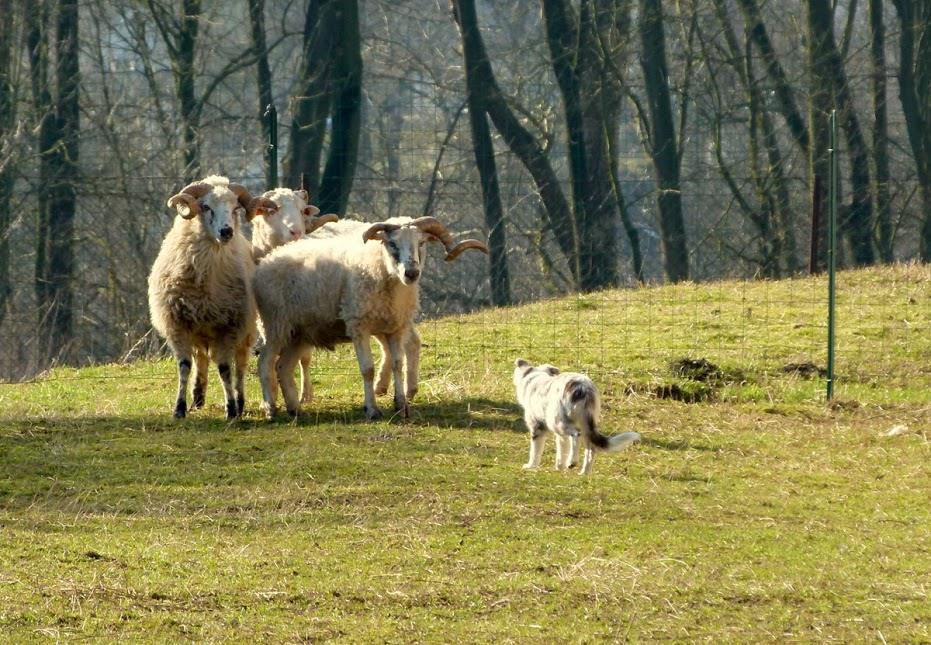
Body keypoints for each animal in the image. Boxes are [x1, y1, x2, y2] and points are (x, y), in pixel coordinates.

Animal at [147, 175, 262, 418]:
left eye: (235, 207)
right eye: (206, 206)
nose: (227, 232)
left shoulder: (229, 326)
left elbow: (225, 368)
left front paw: (231, 409)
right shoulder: (177, 324)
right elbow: (184, 365)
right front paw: (179, 408)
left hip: (246, 329)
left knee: (240, 364)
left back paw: (240, 400)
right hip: (199, 331)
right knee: (200, 359)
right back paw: (197, 398)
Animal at [255, 214, 488, 420]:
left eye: (421, 243)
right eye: (392, 243)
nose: (411, 273)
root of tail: (268, 260)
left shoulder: (396, 327)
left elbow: (397, 363)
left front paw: (401, 406)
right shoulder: (359, 326)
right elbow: (367, 369)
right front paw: (372, 409)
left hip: (299, 333)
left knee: (283, 368)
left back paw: (296, 410)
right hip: (274, 325)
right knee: (265, 363)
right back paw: (271, 409)